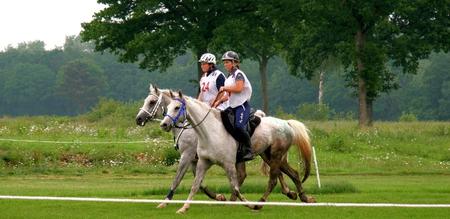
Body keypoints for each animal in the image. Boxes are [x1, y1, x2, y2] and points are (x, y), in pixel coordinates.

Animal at [134, 84, 298, 208]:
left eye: (152, 102)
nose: (138, 119)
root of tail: (284, 124)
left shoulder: (187, 156)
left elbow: (178, 178)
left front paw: (165, 201)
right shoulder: (196, 160)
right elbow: (199, 182)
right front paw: (219, 196)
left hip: (270, 155)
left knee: (278, 173)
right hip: (265, 154)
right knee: (282, 173)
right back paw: (293, 193)